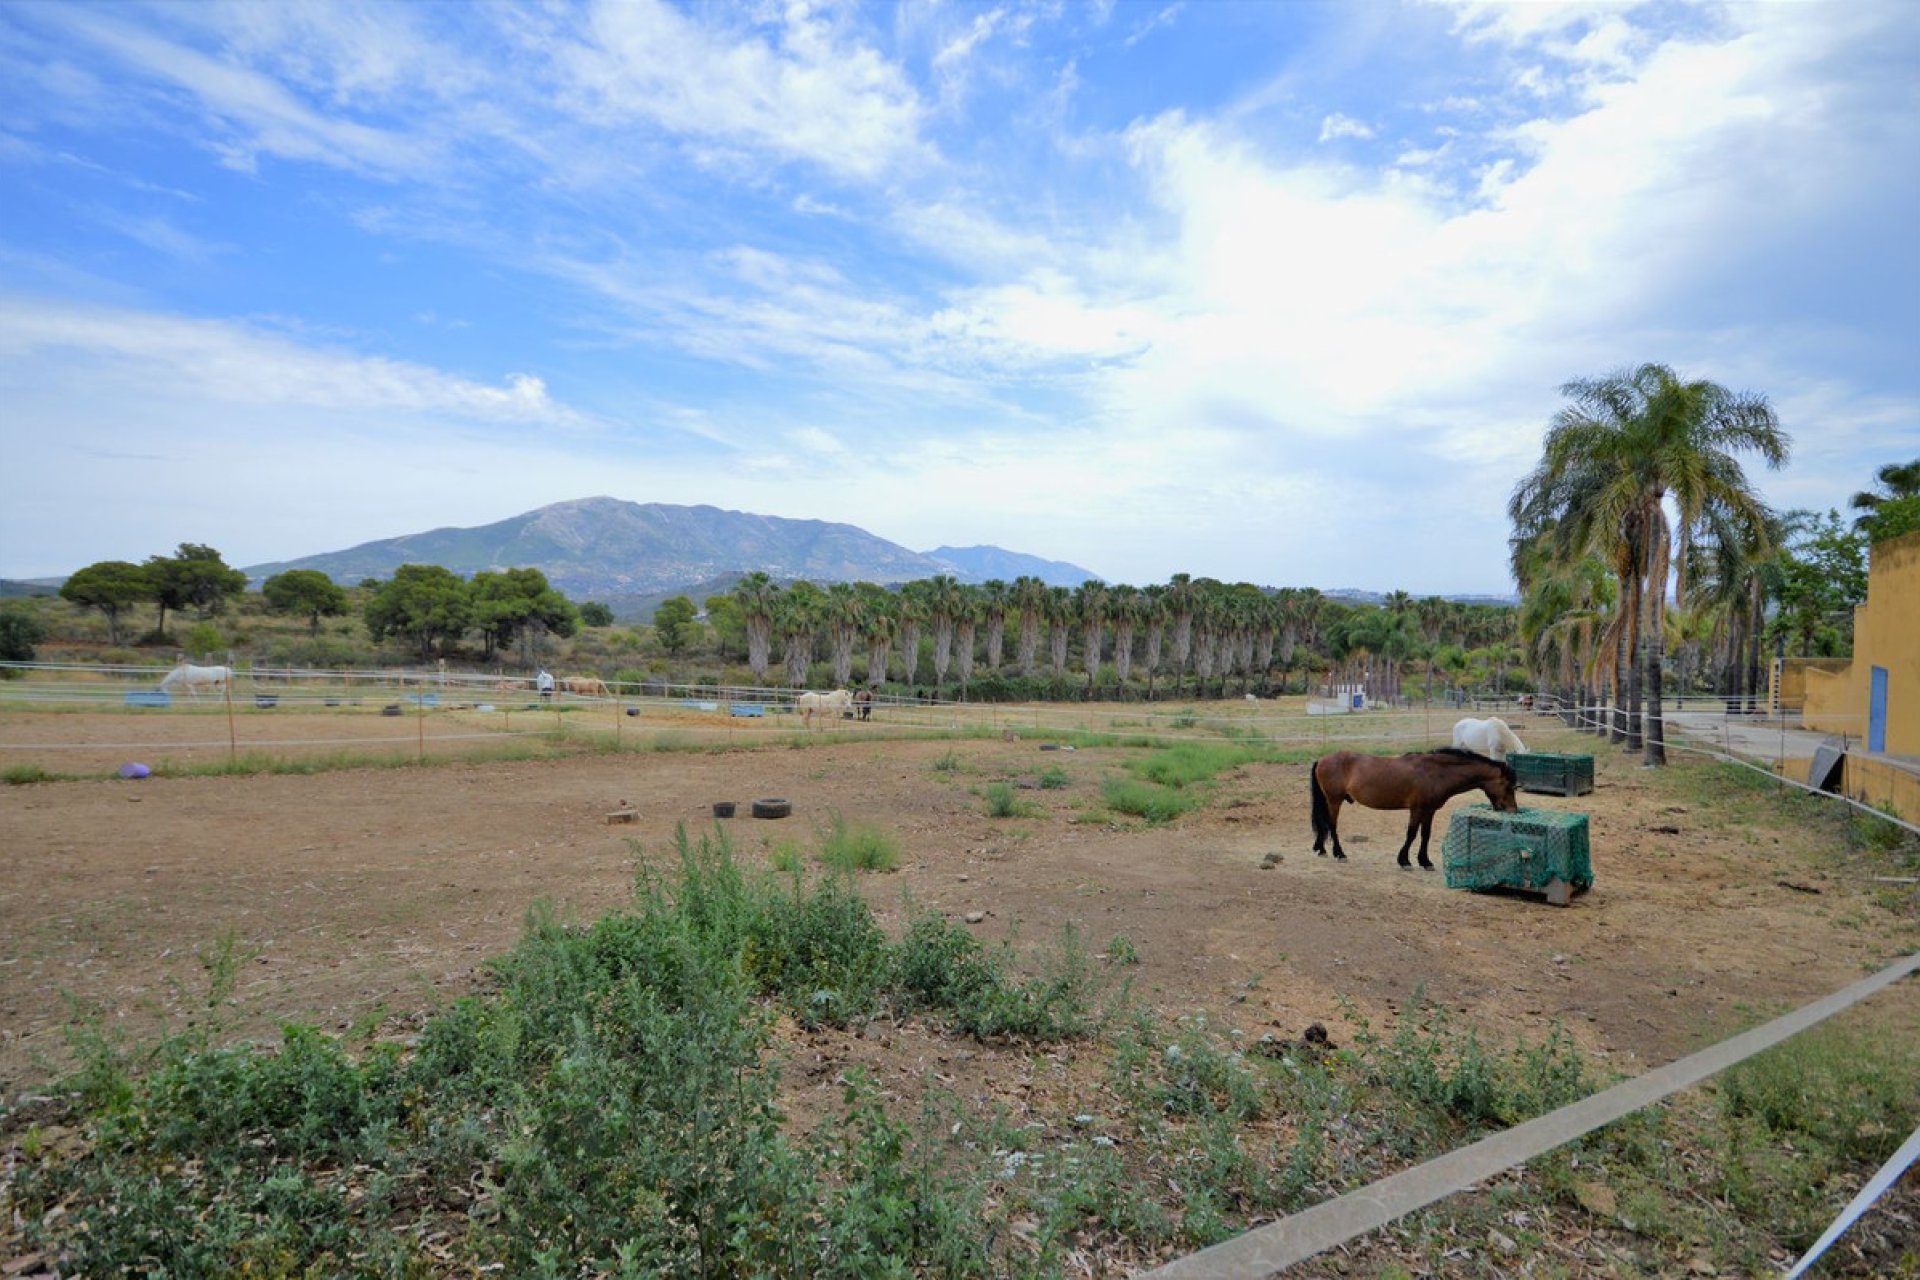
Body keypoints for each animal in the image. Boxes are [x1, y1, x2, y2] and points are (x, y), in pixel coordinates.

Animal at [1313, 752, 1520, 871]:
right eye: (1507, 785)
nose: (1513, 810)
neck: (1435, 773)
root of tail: (1322, 759)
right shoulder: (1417, 809)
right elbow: (1411, 834)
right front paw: (1404, 860)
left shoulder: (1429, 811)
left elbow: (1425, 835)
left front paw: (1425, 861)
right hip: (1334, 800)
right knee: (1332, 825)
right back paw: (1339, 853)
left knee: (1324, 824)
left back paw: (1322, 849)